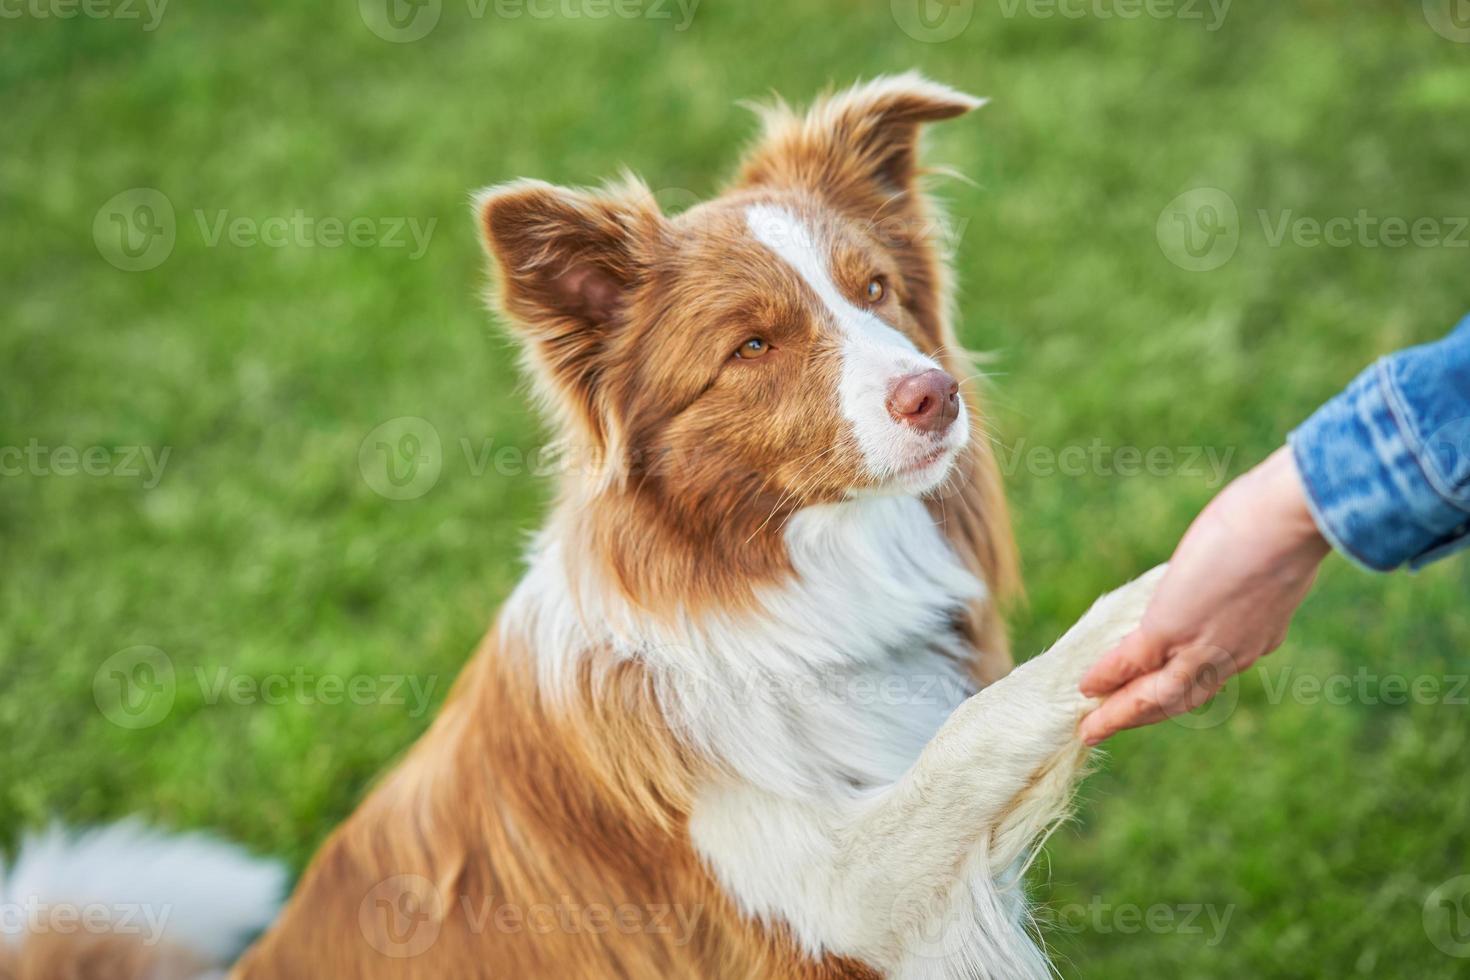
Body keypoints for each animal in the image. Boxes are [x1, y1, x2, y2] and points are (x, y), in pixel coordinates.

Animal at [5, 76, 1164, 980]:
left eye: (874, 288)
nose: (936, 395)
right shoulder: (841, 893)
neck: (783, 583)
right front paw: (1152, 598)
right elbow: (980, 732)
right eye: (751, 346)